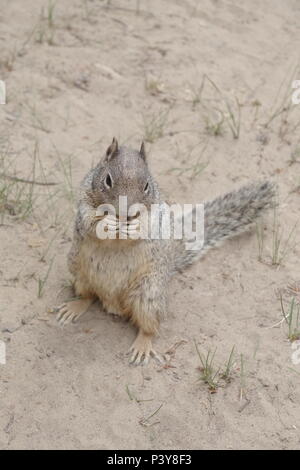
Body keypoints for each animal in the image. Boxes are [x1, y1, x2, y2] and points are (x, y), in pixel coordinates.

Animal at [56, 138, 276, 366]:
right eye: (108, 180)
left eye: (146, 186)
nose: (126, 215)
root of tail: (113, 304)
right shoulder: (84, 200)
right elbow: (89, 220)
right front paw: (106, 221)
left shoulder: (155, 214)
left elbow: (146, 226)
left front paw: (134, 226)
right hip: (79, 274)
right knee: (89, 296)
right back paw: (73, 308)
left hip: (148, 295)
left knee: (150, 326)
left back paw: (142, 346)